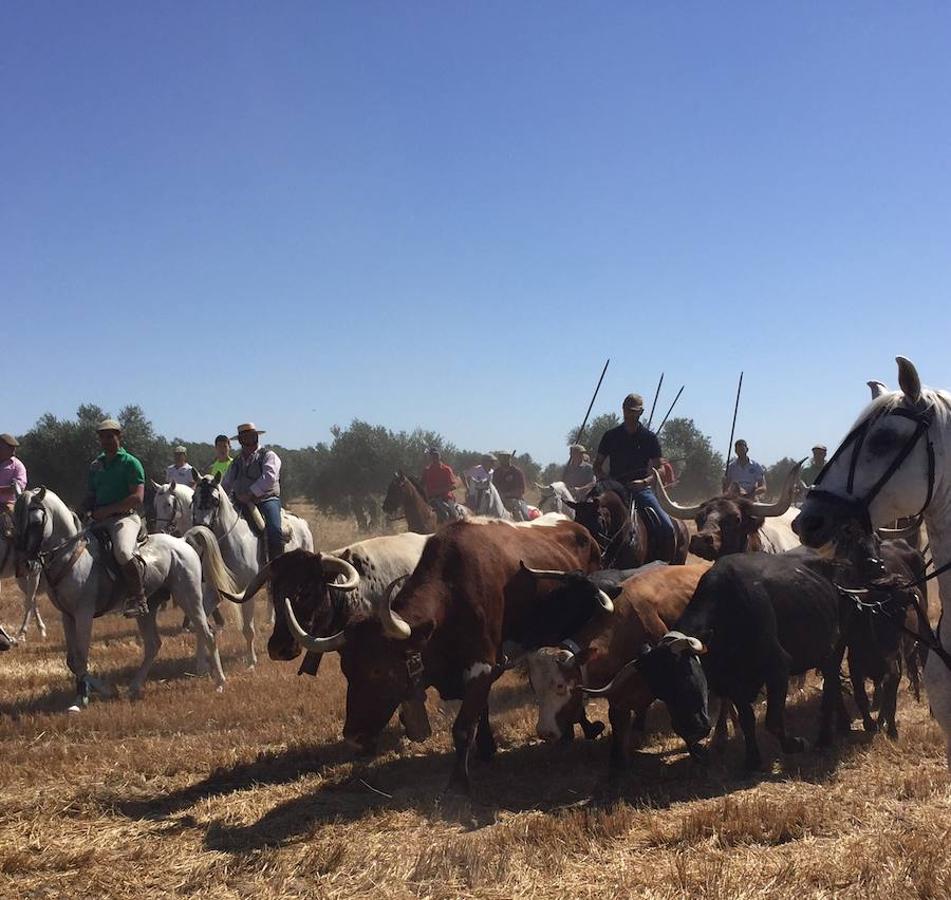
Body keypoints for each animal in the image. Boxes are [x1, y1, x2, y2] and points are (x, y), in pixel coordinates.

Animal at [187, 472, 316, 668]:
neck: (232, 541)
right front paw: (201, 664)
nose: (199, 531)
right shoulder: (213, 591)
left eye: (215, 500)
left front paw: (251, 662)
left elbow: (248, 628)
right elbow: (200, 624)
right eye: (194, 497)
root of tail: (303, 524)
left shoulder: (246, 593)